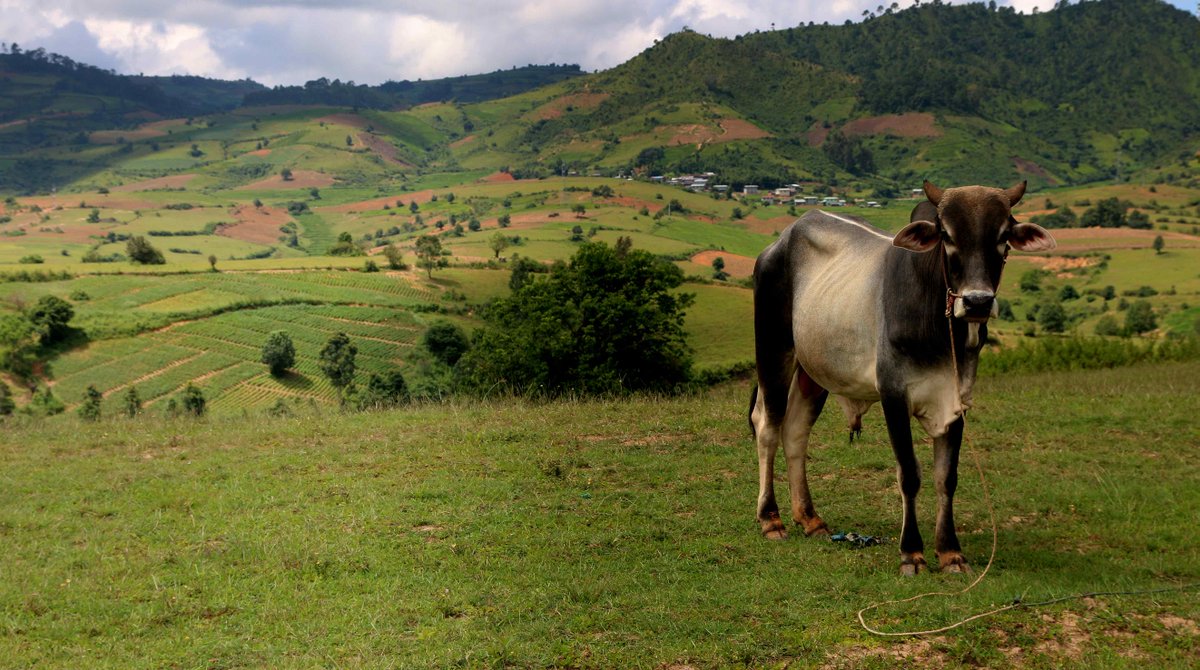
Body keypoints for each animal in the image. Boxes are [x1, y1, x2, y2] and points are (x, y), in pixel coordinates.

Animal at [749, 181, 1055, 575]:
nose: (977, 302)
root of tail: (782, 239)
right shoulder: (893, 394)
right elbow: (909, 473)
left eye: (1003, 236)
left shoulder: (957, 397)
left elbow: (946, 477)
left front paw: (950, 552)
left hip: (813, 371)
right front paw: (912, 552)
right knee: (768, 426)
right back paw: (771, 518)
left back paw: (810, 518)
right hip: (774, 350)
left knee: (796, 431)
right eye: (946, 235)